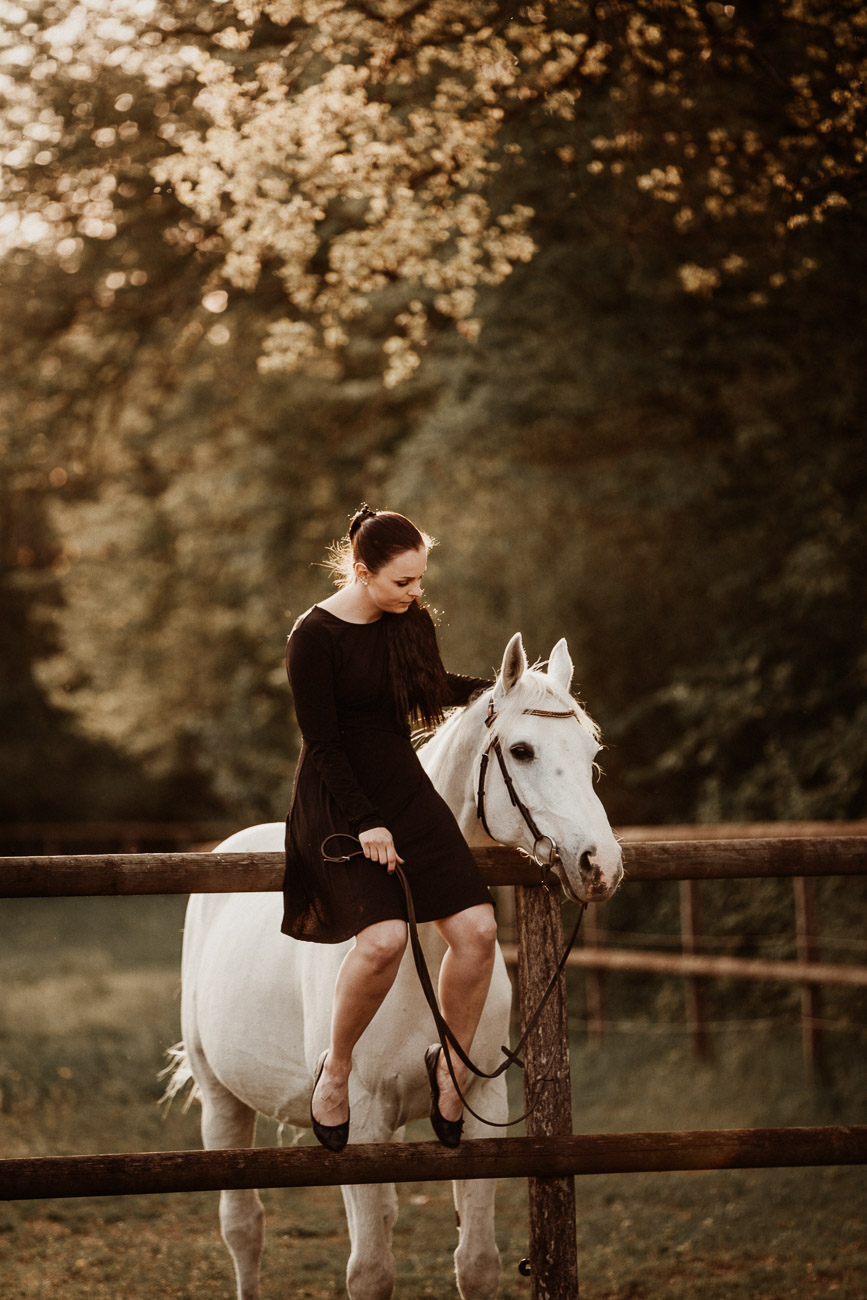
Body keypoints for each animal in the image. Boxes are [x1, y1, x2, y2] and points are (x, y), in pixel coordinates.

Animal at [167, 634, 616, 1294]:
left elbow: (476, 1263)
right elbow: (371, 1272)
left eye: (590, 751)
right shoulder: (363, 1123)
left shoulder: (483, 1109)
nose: (600, 865)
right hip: (221, 1098)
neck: (421, 954)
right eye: (522, 749)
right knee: (243, 1227)